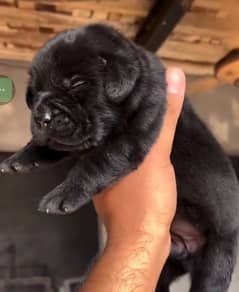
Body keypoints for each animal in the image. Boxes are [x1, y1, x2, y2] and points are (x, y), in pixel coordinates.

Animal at [0, 24, 239, 290]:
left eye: (76, 84)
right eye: (35, 93)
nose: (42, 118)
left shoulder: (132, 132)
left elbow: (94, 164)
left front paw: (61, 195)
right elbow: (47, 146)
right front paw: (17, 160)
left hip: (217, 253)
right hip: (164, 263)